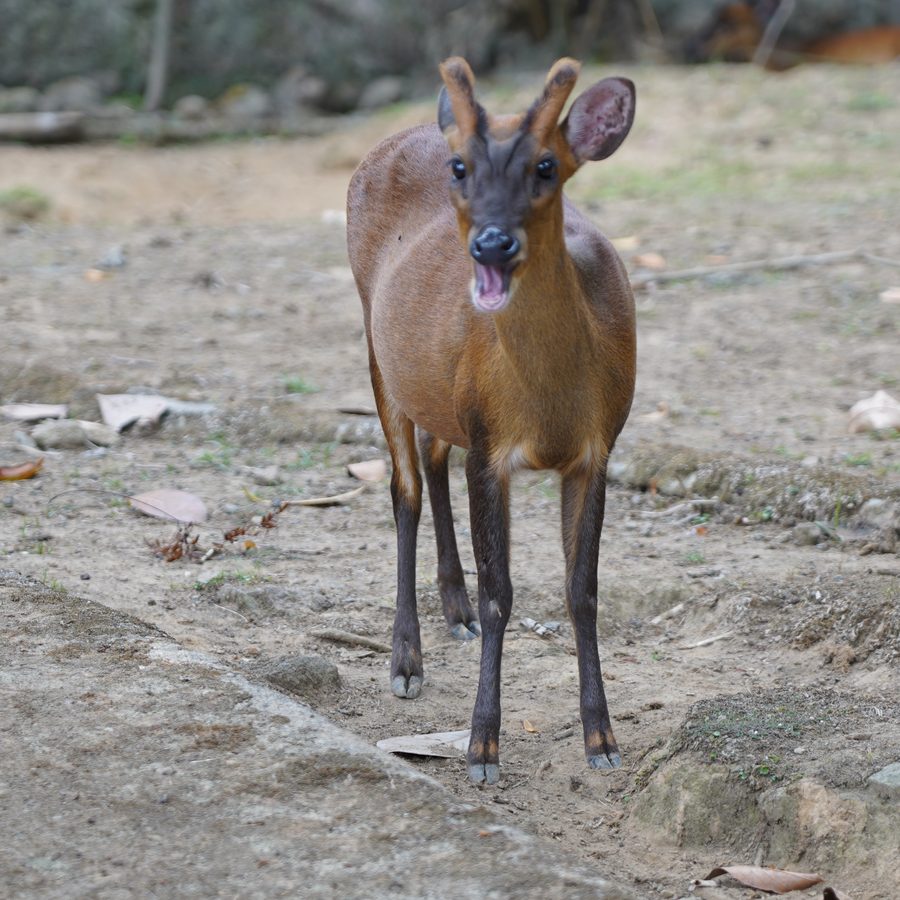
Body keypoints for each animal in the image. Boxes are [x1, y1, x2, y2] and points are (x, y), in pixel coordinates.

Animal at [346, 57, 636, 785]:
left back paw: (453, 609)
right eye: (461, 168)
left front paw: (601, 737)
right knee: (405, 489)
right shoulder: (491, 444)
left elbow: (582, 590)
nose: (492, 244)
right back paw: (406, 660)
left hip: (439, 385)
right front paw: (481, 747)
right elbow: (501, 592)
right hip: (377, 347)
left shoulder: (598, 446)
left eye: (546, 166)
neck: (549, 403)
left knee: (432, 454)